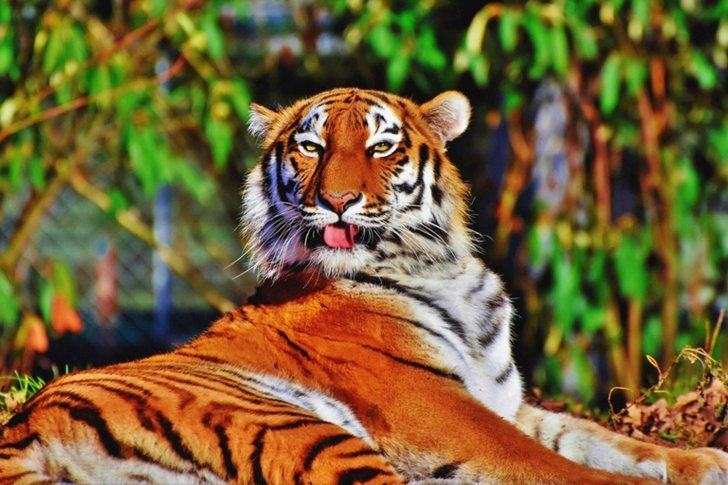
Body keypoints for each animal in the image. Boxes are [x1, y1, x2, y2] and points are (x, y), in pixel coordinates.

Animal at [1, 88, 727, 485]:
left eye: (381, 147)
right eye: (311, 147)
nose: (339, 201)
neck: (439, 265)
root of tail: (24, 424)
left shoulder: (504, 401)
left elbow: (608, 441)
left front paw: (707, 460)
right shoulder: (442, 411)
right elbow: (561, 466)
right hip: (297, 426)